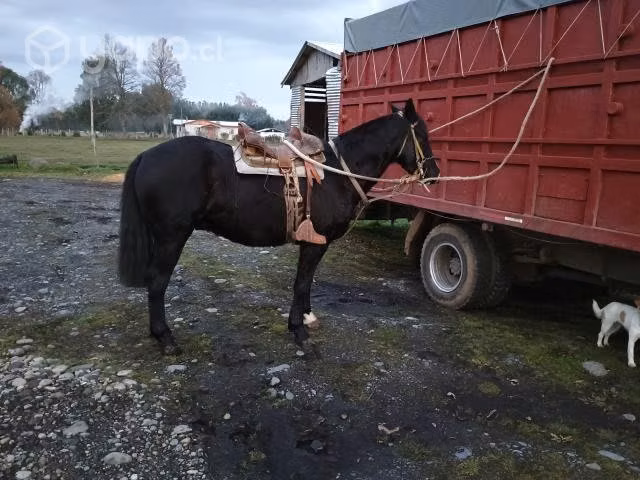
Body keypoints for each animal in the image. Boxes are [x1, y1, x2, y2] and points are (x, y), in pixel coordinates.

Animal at [117, 98, 440, 355]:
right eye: (423, 135)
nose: (435, 174)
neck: (338, 173)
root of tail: (147, 155)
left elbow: (307, 283)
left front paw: (307, 318)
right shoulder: (313, 243)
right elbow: (301, 283)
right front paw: (300, 332)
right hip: (172, 237)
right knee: (157, 282)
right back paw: (165, 339)